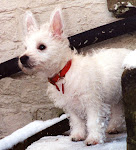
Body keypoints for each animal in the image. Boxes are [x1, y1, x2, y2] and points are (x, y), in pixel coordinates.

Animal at [18, 8, 131, 145]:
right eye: (25, 48)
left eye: (42, 47)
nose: (23, 58)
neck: (63, 74)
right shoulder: (71, 106)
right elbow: (77, 122)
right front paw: (77, 135)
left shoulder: (92, 103)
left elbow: (93, 122)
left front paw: (93, 139)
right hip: (116, 96)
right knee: (118, 110)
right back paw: (114, 127)